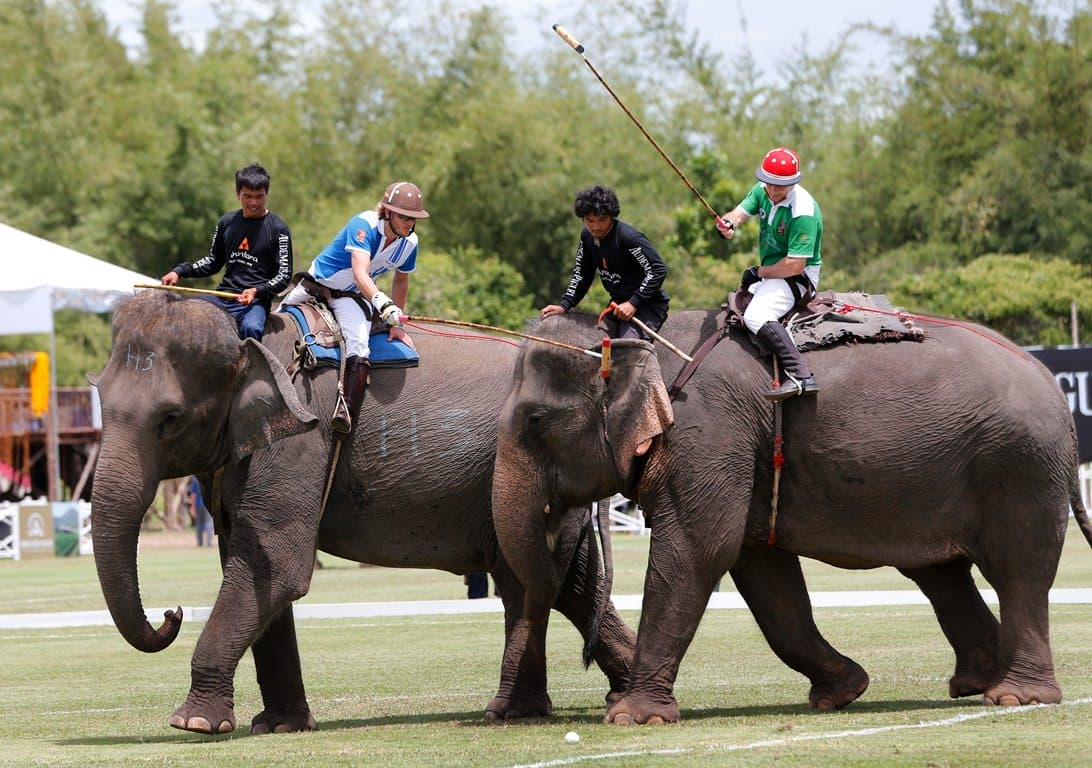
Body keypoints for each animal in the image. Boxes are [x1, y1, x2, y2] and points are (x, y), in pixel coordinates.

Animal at [89, 290, 635, 734]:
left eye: (171, 419)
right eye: (97, 396)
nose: (172, 613)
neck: (251, 335)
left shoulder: (302, 439)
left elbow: (277, 566)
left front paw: (195, 724)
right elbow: (255, 567)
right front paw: (281, 726)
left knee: (533, 583)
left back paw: (518, 711)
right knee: (565, 585)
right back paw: (614, 696)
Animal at [491, 309, 1092, 725]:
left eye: (536, 421)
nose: (500, 715)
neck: (648, 340)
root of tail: (1050, 381)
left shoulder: (709, 435)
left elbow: (697, 552)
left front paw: (632, 718)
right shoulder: (740, 456)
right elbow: (765, 577)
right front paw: (841, 692)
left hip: (1019, 466)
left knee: (1019, 572)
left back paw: (1015, 696)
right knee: (940, 573)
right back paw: (973, 684)